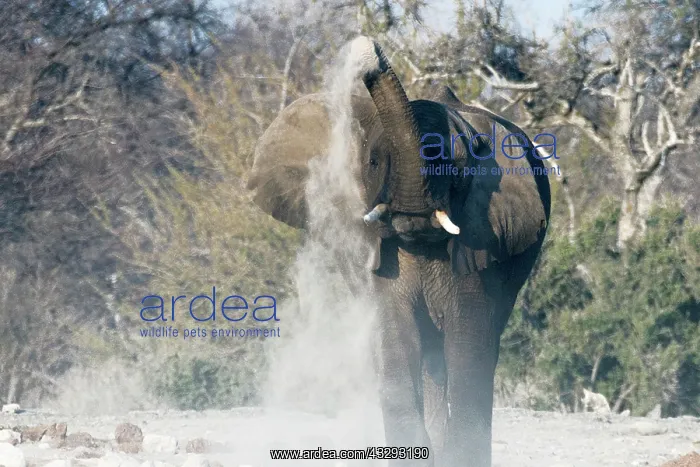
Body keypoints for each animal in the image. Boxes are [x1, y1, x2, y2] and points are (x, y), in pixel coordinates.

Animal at [247, 36, 551, 467]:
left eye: (457, 167)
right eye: (374, 161)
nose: (367, 47)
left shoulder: (483, 238)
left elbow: (468, 344)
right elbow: (395, 339)